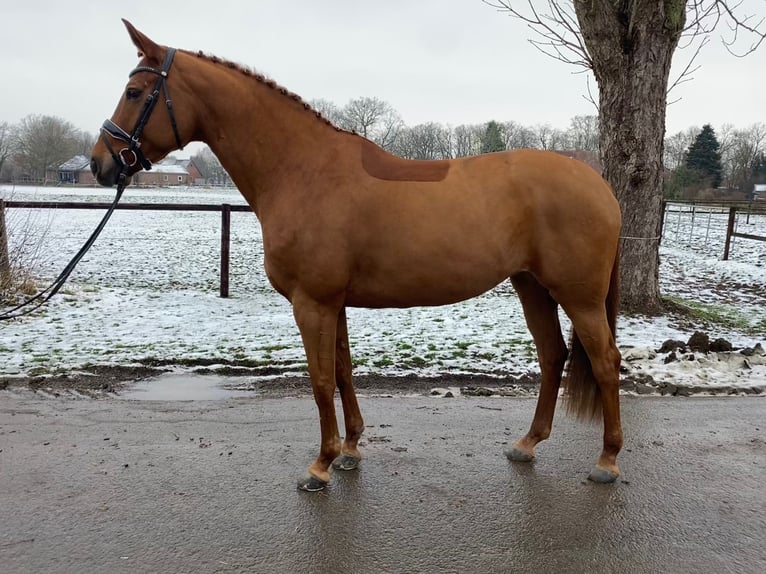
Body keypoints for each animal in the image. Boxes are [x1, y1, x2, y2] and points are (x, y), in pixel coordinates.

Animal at [90, 20, 623, 492]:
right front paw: (349, 451)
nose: (100, 164)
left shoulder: (312, 303)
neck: (302, 171)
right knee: (553, 356)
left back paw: (607, 461)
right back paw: (527, 443)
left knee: (605, 361)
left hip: (579, 296)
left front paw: (320, 465)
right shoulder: (335, 303)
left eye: (135, 92)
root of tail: (599, 184)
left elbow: (320, 379)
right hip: (531, 285)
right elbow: (344, 371)